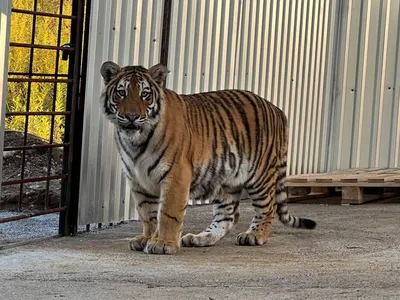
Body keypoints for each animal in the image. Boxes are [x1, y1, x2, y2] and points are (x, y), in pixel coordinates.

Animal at [99, 61, 316, 255]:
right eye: (121, 93)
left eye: (144, 94)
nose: (131, 116)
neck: (135, 141)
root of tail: (277, 109)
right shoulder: (138, 180)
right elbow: (147, 213)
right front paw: (147, 238)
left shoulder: (176, 175)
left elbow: (168, 212)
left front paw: (162, 243)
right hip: (226, 179)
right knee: (229, 215)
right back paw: (199, 238)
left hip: (259, 175)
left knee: (267, 208)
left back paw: (254, 235)